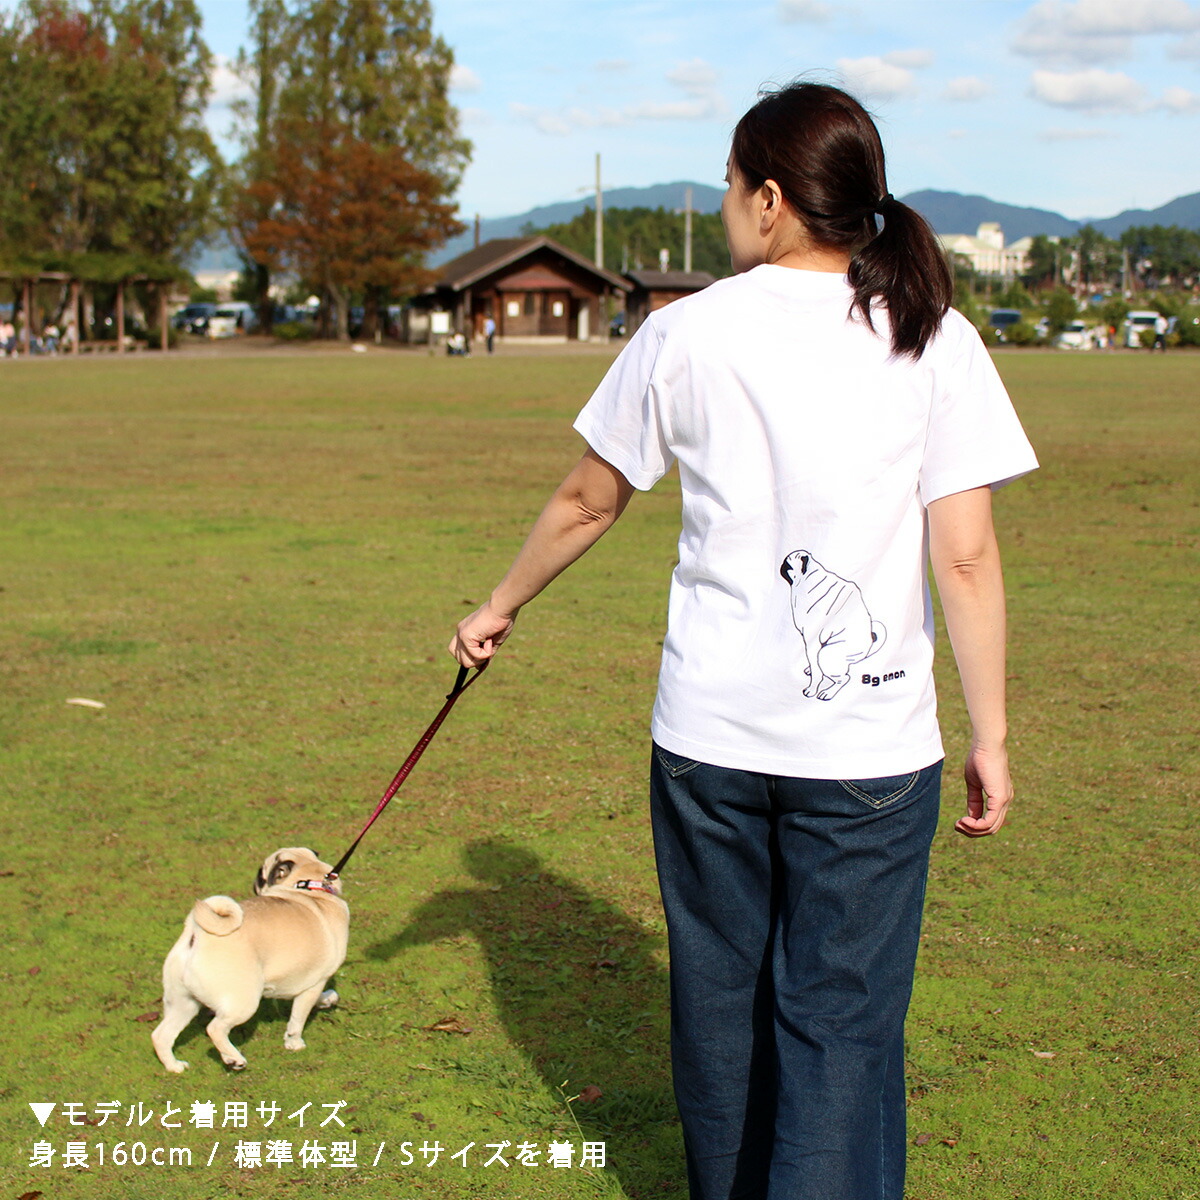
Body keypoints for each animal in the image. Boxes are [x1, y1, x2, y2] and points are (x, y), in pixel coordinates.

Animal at [150, 849, 348, 1075]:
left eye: (261, 876)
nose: (255, 880)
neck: (309, 889)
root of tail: (198, 932)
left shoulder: (308, 983)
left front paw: (327, 999)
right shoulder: (315, 982)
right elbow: (298, 1019)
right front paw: (294, 1043)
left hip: (183, 1002)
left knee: (162, 1035)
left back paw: (174, 1066)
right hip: (243, 1002)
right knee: (215, 1028)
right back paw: (234, 1059)